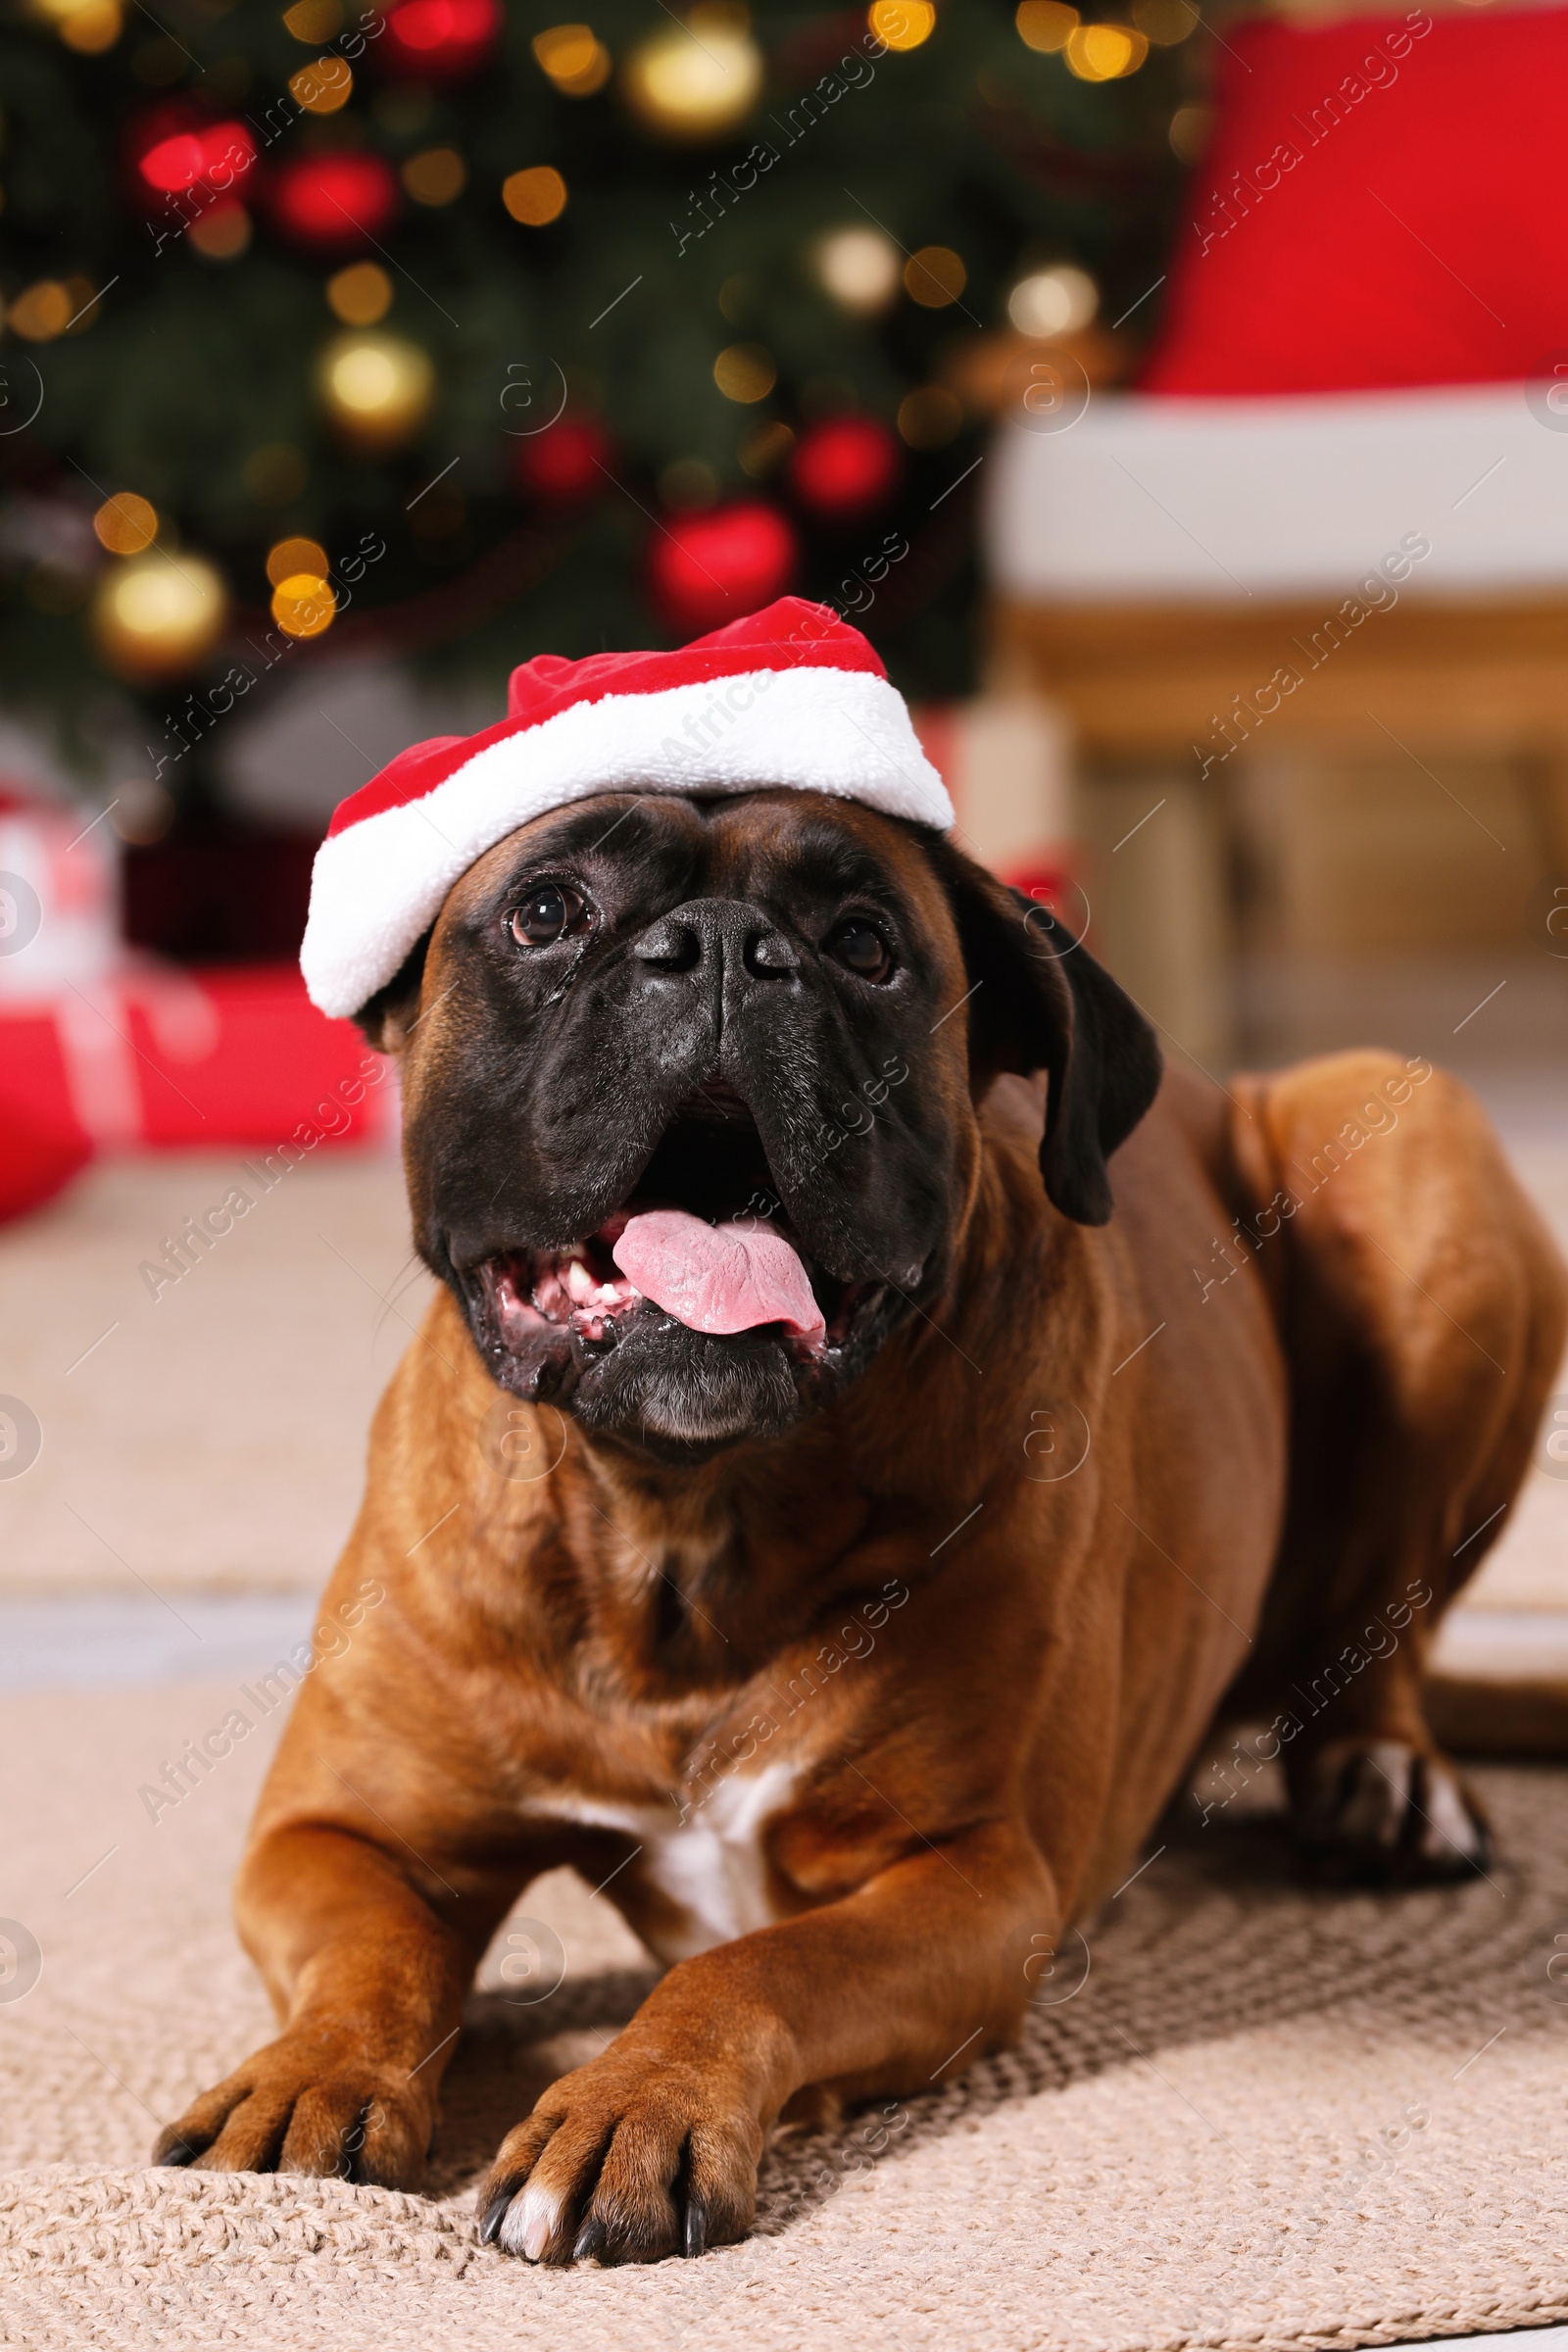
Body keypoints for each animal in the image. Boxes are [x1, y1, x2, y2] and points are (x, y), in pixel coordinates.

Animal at [156, 785, 1568, 2258]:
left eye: (863, 943)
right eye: (547, 911)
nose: (722, 947)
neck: (678, 1520)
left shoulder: (972, 1883)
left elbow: (749, 1963)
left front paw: (632, 2106)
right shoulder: (338, 1836)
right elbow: (375, 1959)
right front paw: (308, 2079)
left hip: (1409, 1139)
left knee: (1379, 1635)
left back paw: (1384, 1776)